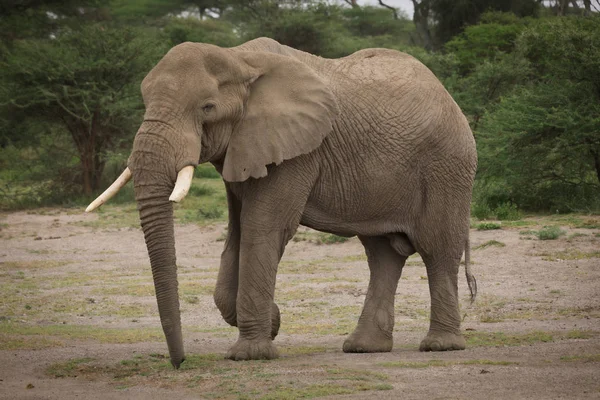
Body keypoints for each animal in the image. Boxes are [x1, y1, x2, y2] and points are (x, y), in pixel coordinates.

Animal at [85, 37, 478, 368]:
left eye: (207, 107)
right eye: (145, 102)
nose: (179, 362)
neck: (239, 57)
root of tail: (449, 96)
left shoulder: (296, 151)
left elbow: (263, 228)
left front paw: (251, 354)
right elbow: (237, 233)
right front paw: (272, 323)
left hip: (447, 165)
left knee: (436, 248)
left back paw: (440, 346)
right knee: (382, 254)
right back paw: (364, 347)